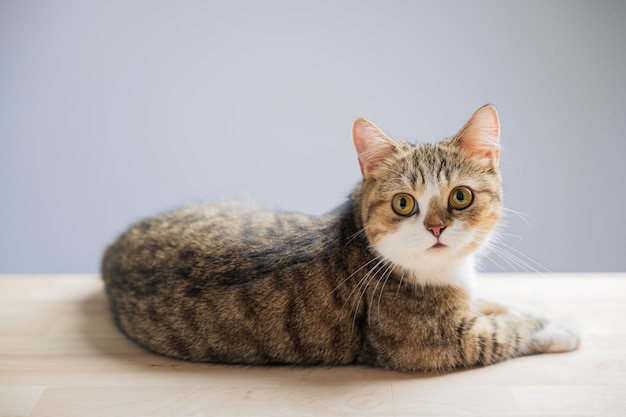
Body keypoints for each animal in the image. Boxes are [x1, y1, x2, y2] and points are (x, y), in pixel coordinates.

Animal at [100, 104, 576, 370]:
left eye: (460, 196)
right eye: (403, 203)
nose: (436, 227)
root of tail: (112, 251)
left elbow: (498, 304)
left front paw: (535, 309)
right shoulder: (438, 342)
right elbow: (506, 332)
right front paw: (559, 328)